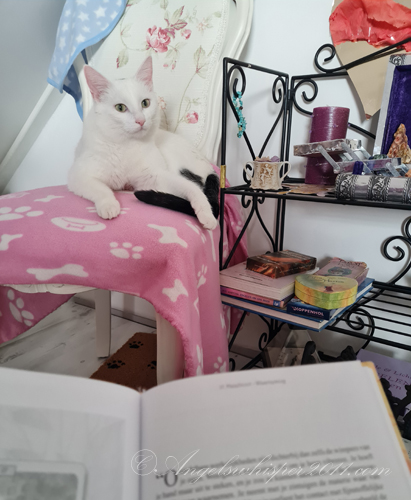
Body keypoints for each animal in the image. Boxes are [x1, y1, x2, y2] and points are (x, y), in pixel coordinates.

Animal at [67, 56, 219, 230]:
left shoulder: (155, 178)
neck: (126, 145)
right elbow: (101, 188)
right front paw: (109, 205)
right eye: (120, 107)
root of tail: (209, 166)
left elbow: (190, 187)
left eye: (145, 103)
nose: (141, 120)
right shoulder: (78, 176)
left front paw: (206, 213)